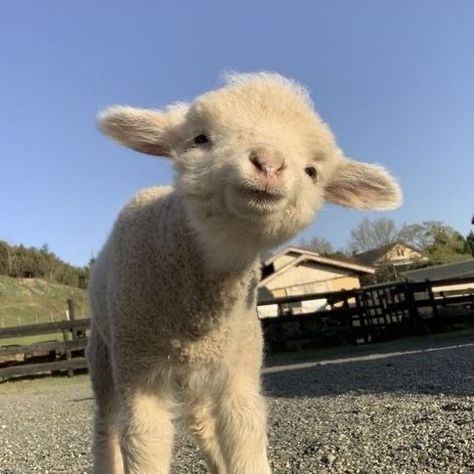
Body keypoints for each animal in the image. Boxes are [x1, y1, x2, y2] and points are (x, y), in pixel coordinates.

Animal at [85, 71, 400, 474]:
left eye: (312, 172)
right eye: (200, 138)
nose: (269, 163)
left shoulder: (240, 365)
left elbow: (244, 430)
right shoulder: (138, 370)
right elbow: (144, 442)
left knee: (201, 420)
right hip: (104, 351)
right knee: (105, 426)